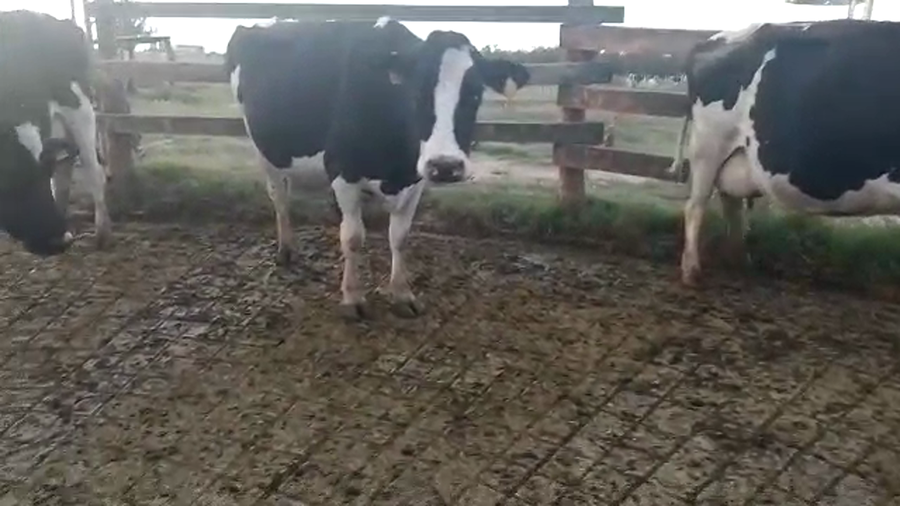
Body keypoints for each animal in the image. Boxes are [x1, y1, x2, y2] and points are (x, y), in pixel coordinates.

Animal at [0, 10, 111, 256]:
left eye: (45, 170)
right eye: (9, 172)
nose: (60, 240)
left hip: (80, 108)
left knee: (94, 172)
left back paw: (102, 234)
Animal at [225, 17, 530, 318]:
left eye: (476, 93)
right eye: (415, 92)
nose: (445, 166)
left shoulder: (416, 180)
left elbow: (399, 237)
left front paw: (401, 293)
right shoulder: (343, 171)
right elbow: (352, 237)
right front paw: (352, 297)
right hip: (264, 150)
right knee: (278, 196)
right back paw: (286, 250)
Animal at [670, 19, 900, 286]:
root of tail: (714, 39)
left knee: (731, 203)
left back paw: (739, 259)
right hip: (708, 147)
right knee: (696, 206)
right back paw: (692, 271)